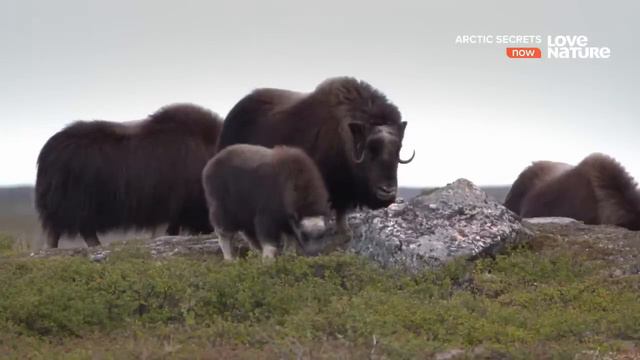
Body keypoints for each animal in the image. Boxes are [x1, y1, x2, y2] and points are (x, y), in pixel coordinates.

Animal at [202, 143, 330, 258]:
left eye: (322, 235)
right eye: (304, 235)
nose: (314, 254)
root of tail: (211, 164)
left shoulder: (287, 221)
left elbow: (290, 239)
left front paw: (288, 255)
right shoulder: (267, 215)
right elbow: (269, 240)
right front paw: (268, 259)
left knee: (248, 233)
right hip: (223, 209)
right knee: (224, 234)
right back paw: (230, 259)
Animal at [216, 76, 416, 236]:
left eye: (398, 150)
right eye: (370, 150)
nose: (387, 191)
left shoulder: (343, 188)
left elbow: (342, 209)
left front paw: (344, 230)